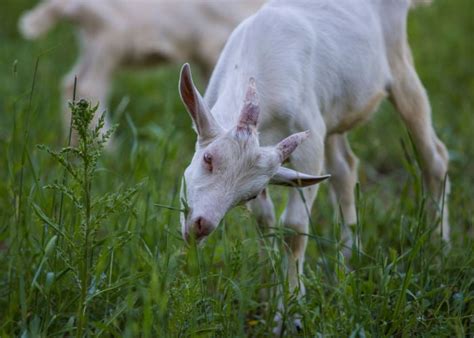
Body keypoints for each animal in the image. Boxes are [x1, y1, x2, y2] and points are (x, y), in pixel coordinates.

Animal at [178, 0, 448, 332]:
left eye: (247, 194)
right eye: (208, 158)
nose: (202, 225)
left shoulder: (309, 143)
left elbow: (294, 227)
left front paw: (289, 314)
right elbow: (265, 222)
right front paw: (267, 294)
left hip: (398, 67)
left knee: (434, 157)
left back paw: (439, 250)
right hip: (332, 111)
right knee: (345, 169)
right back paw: (346, 263)